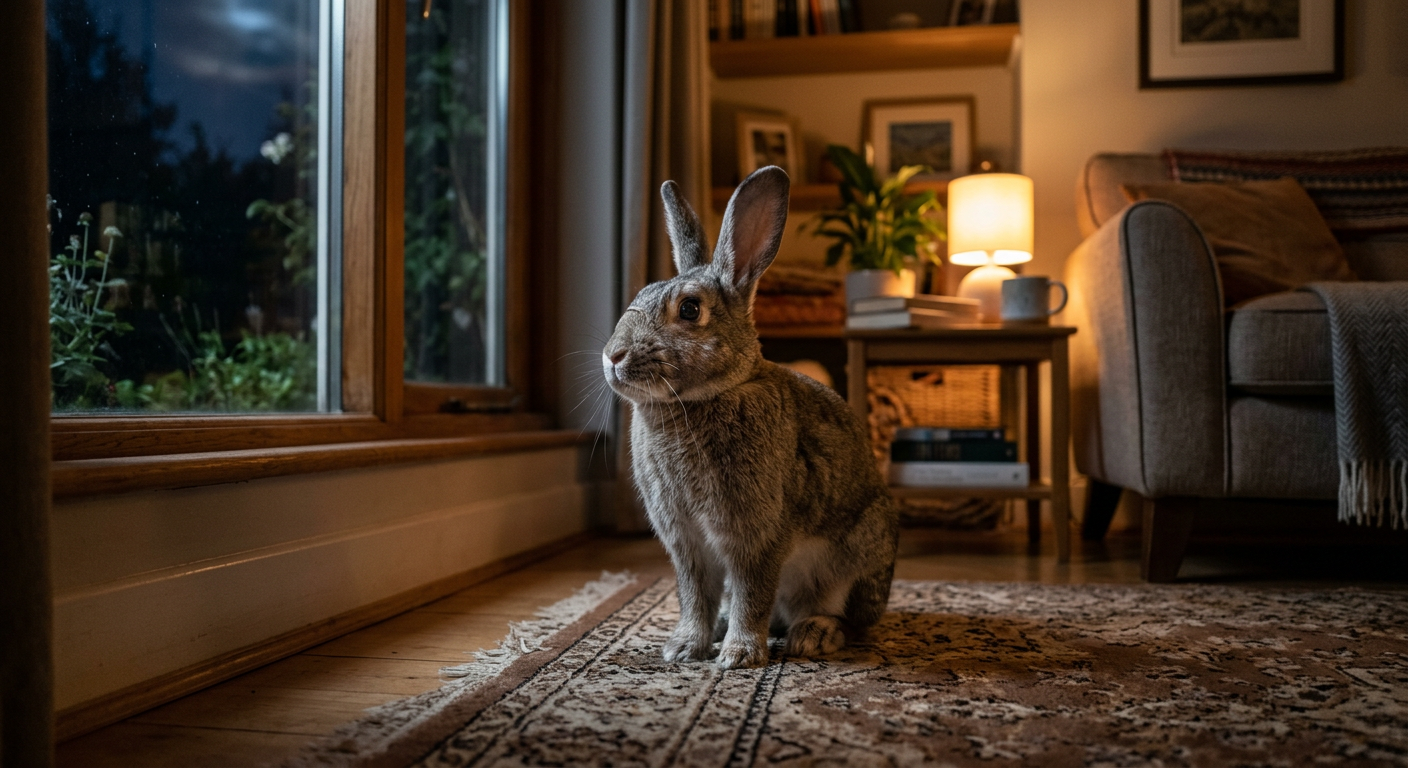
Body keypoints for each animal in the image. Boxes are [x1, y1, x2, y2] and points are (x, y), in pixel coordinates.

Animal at [602, 166, 899, 670]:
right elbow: (695, 595)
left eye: (690, 309)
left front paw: (739, 656)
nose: (612, 356)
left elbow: (751, 593)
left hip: (855, 559)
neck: (701, 398)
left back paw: (813, 635)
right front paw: (684, 648)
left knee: (843, 616)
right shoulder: (686, 543)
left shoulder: (756, 537)